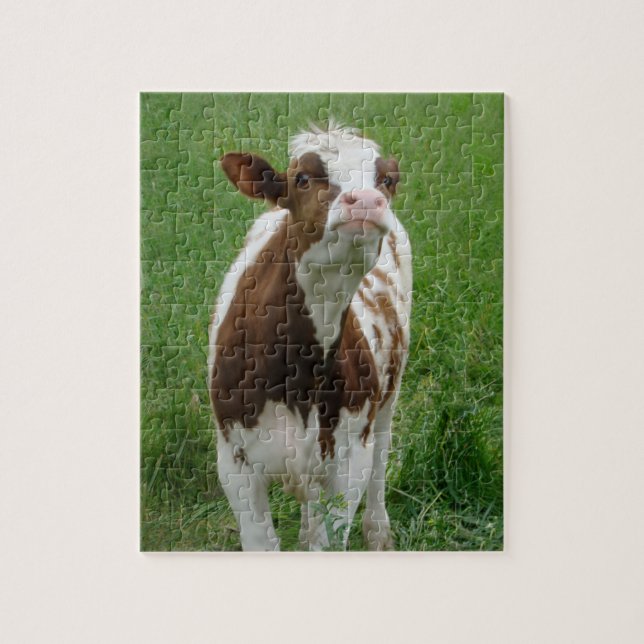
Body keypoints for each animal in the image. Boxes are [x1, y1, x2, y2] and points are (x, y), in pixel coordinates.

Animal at [208, 122, 412, 551]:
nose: (366, 201)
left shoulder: (349, 460)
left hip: (388, 395)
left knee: (381, 455)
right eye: (302, 178)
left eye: (386, 180)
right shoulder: (234, 460)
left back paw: (378, 530)